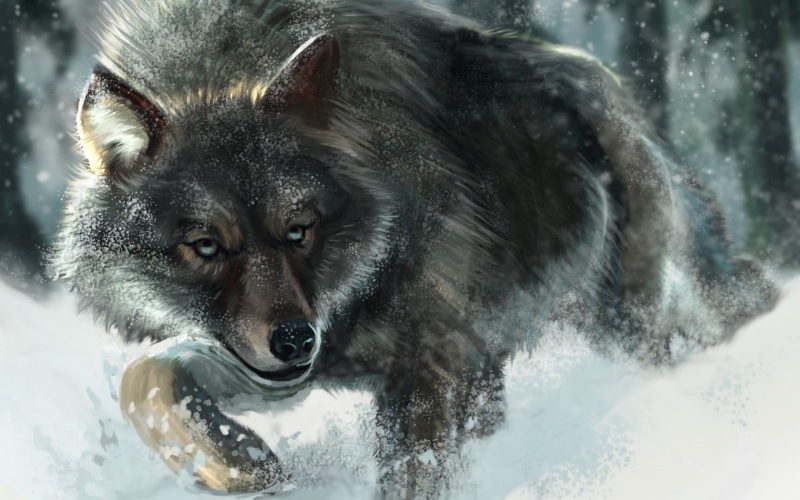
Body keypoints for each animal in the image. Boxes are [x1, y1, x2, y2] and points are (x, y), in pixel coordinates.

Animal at [54, 0, 776, 496]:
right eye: (206, 246)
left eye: (299, 229)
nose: (294, 340)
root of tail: (610, 88)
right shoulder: (289, 362)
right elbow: (148, 376)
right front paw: (241, 464)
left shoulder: (424, 367)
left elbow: (413, 477)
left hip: (629, 320)